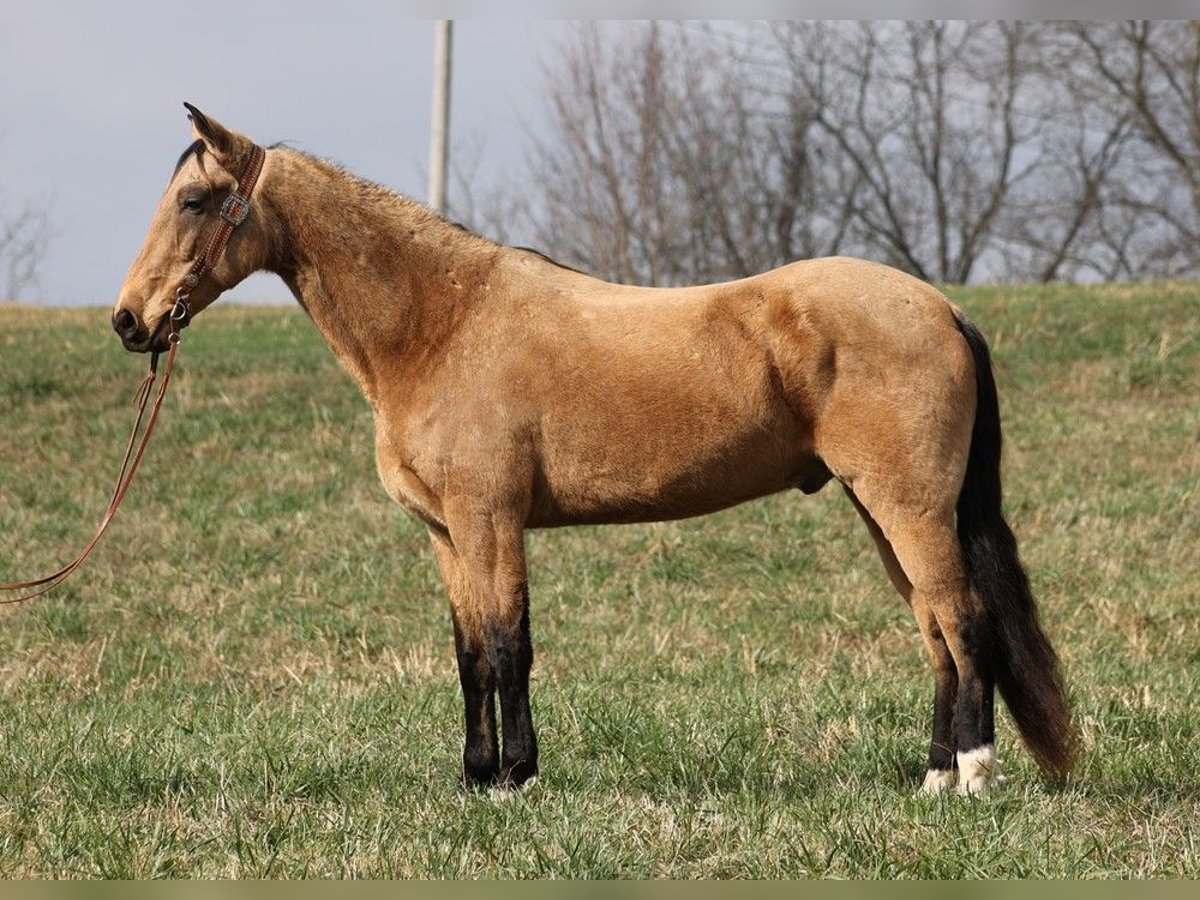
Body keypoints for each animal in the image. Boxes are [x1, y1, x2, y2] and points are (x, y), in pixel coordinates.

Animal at [112, 103, 1080, 796]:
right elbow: (469, 652)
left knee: (963, 621)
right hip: (883, 512)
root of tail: (940, 306)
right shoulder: (446, 535)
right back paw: (933, 778)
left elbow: (510, 644)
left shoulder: (492, 520)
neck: (440, 322)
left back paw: (975, 775)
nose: (129, 321)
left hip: (909, 507)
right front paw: (474, 779)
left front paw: (516, 778)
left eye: (194, 201)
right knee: (935, 632)